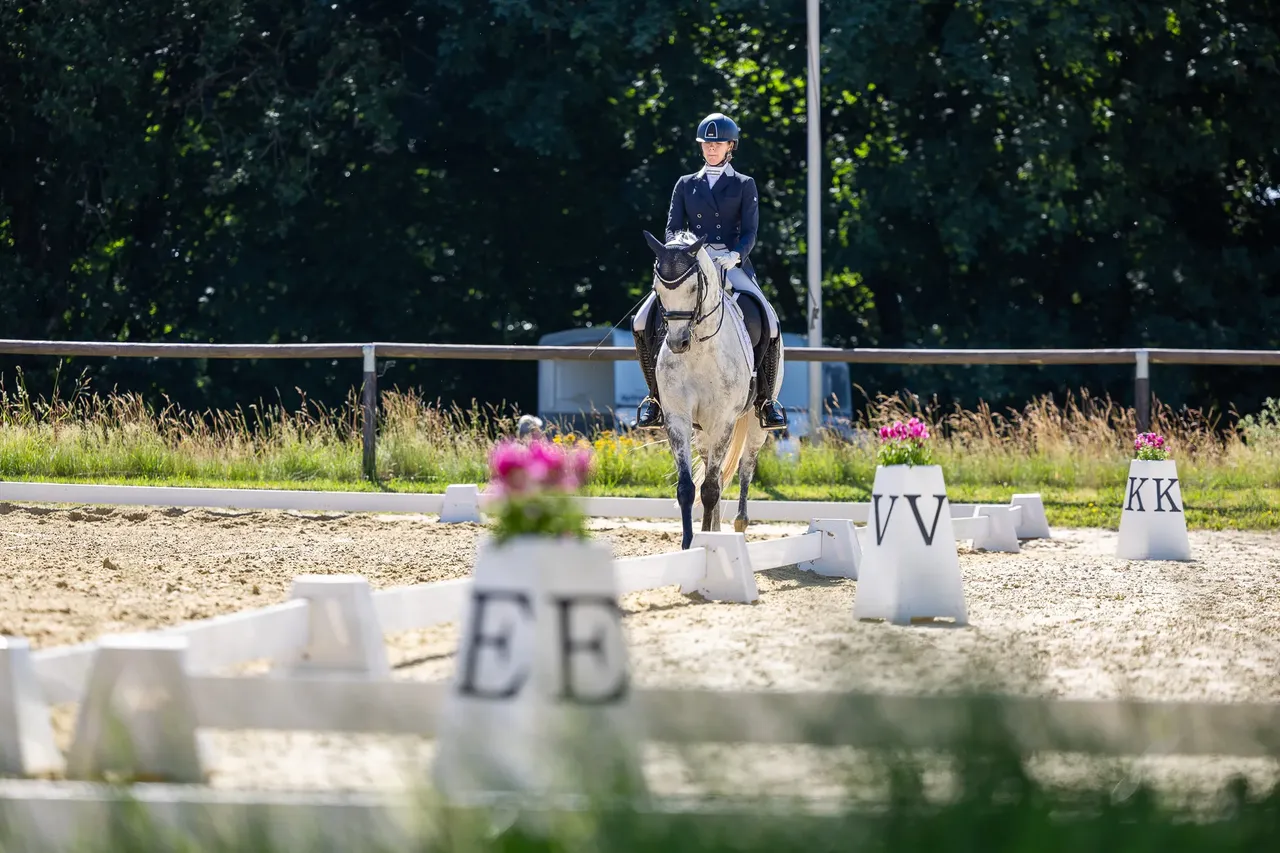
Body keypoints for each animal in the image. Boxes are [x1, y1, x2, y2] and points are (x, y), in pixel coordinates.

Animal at [641, 229, 783, 550]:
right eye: (658, 288)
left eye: (695, 287)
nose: (677, 342)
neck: (699, 350)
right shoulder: (678, 418)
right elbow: (689, 487)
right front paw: (689, 544)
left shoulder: (724, 420)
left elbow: (710, 489)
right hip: (702, 430)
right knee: (712, 471)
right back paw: (715, 529)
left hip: (754, 423)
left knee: (745, 468)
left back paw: (740, 525)